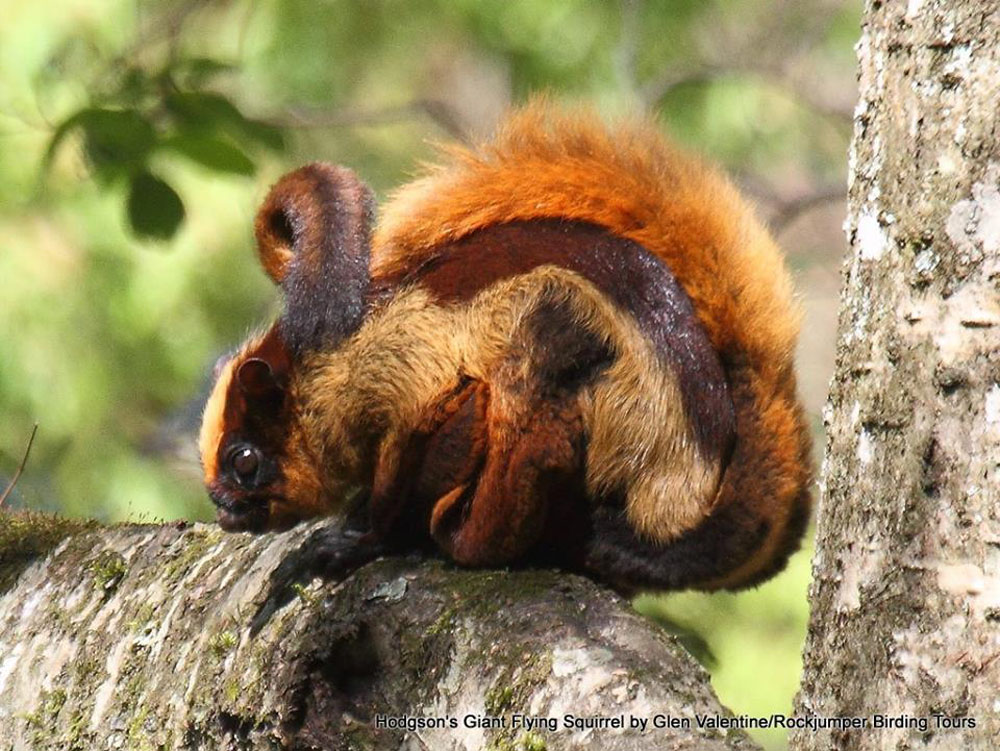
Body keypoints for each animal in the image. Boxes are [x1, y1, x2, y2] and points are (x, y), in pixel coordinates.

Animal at [198, 102, 812, 593]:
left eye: (244, 461)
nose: (224, 511)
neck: (326, 370)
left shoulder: (400, 370)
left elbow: (411, 455)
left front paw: (362, 538)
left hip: (570, 347)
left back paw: (472, 539)